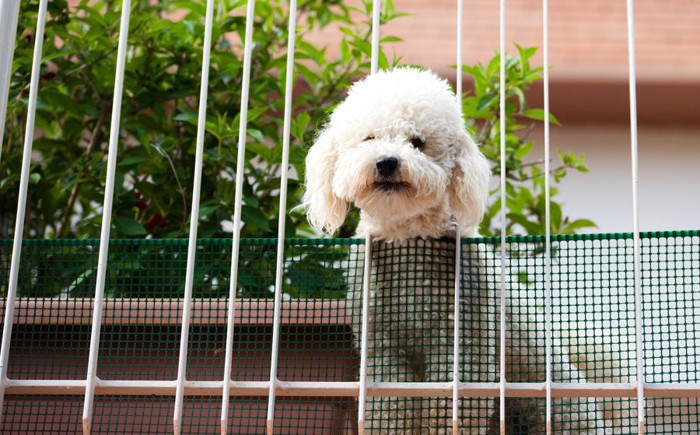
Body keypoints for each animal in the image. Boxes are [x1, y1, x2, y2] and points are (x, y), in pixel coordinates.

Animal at [300, 66, 600, 434]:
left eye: (417, 142)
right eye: (369, 138)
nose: (386, 162)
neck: (409, 237)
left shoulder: (463, 344)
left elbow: (449, 407)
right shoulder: (383, 349)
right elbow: (390, 409)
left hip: (561, 408)